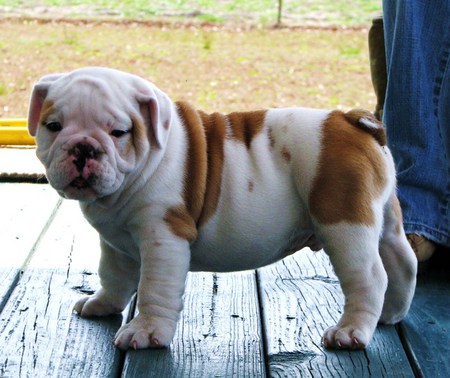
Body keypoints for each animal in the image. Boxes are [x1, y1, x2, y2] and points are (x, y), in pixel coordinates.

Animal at [28, 67, 416, 352]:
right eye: (53, 126)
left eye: (119, 132)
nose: (83, 147)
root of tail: (351, 120)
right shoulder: (115, 242)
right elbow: (112, 275)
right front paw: (103, 304)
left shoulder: (163, 238)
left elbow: (154, 287)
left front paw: (146, 331)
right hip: (382, 218)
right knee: (402, 261)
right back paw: (390, 313)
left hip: (344, 222)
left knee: (370, 276)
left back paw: (351, 331)